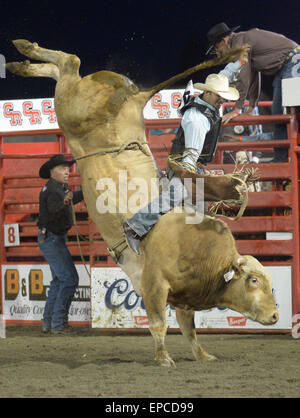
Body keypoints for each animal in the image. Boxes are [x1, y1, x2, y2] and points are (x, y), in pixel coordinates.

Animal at [7, 39, 278, 366]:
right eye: (253, 281)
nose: (275, 315)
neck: (205, 256)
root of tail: (134, 98)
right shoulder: (154, 284)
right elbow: (158, 324)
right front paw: (163, 359)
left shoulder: (184, 299)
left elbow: (189, 329)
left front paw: (202, 355)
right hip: (72, 110)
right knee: (70, 62)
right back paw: (24, 52)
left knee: (65, 67)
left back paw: (21, 62)